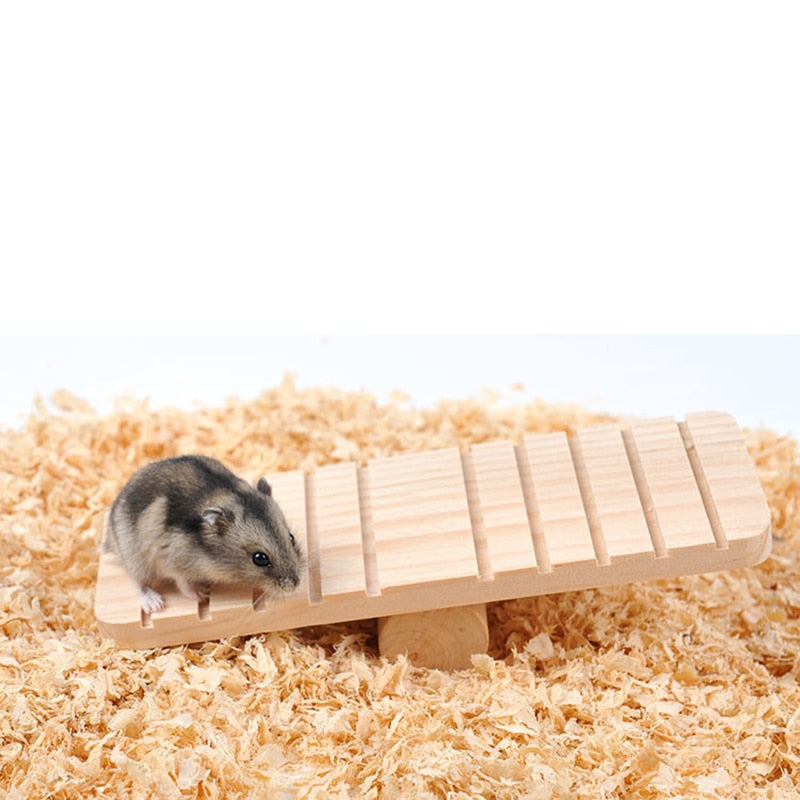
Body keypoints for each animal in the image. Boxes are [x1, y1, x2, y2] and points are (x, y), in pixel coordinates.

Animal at [104, 455, 303, 614]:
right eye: (259, 558)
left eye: (291, 538)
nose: (294, 586)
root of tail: (110, 538)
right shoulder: (172, 561)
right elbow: (183, 583)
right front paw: (203, 594)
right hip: (134, 556)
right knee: (139, 582)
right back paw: (155, 604)